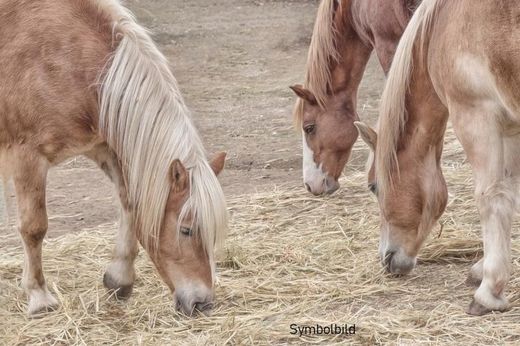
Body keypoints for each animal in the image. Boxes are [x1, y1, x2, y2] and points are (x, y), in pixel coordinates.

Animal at [0, 0, 228, 316]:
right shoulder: (29, 158)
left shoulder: (103, 147)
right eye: (186, 230)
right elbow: (34, 227)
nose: (202, 303)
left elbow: (130, 203)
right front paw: (39, 296)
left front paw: (120, 279)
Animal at [356, 0, 520, 314]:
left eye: (373, 186)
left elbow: (491, 199)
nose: (387, 259)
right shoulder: (510, 126)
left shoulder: (476, 115)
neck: (443, 25)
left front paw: (488, 291)